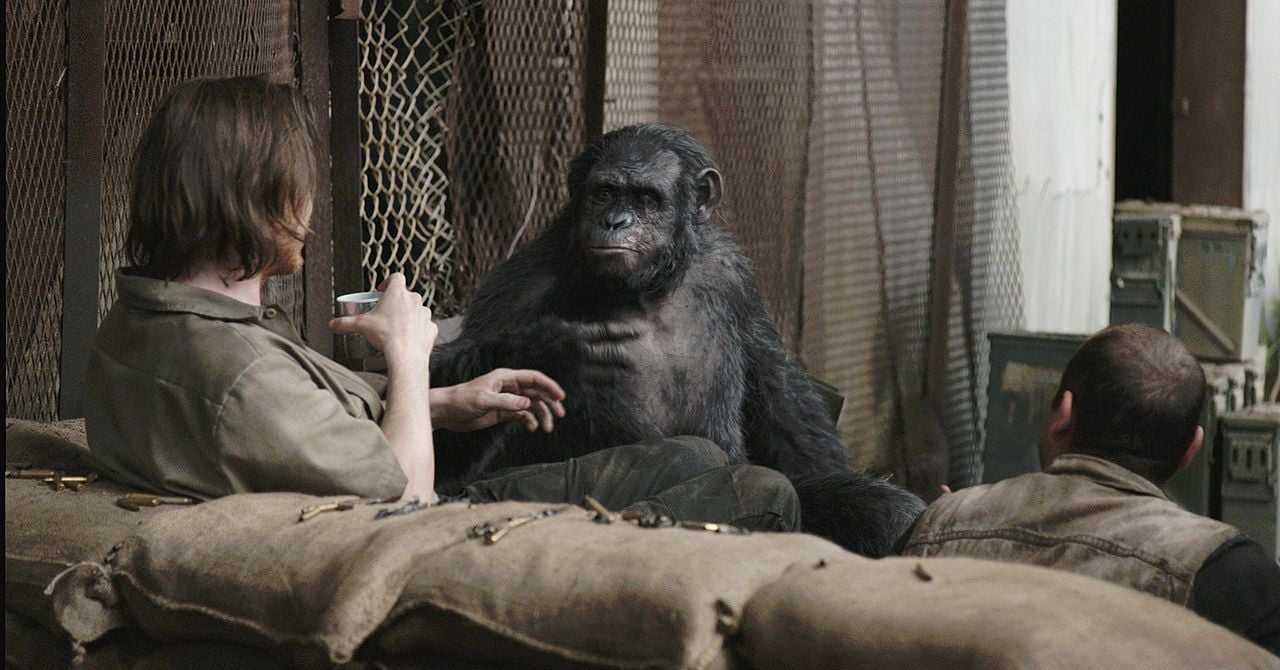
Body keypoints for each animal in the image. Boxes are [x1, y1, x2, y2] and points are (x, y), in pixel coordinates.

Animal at [435, 124, 926, 555]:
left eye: (647, 198)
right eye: (604, 192)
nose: (616, 220)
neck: (648, 289)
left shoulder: (734, 274)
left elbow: (775, 380)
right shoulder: (520, 286)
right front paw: (548, 350)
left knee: (889, 513)